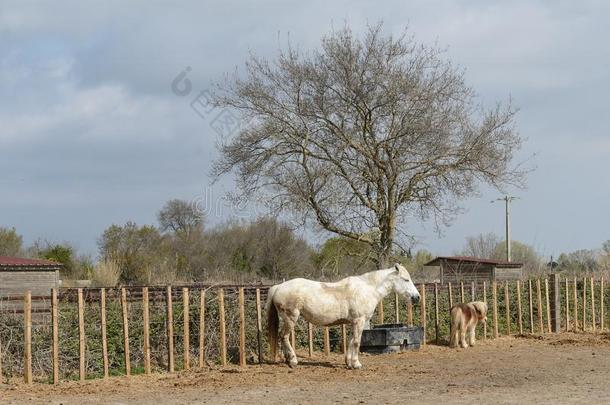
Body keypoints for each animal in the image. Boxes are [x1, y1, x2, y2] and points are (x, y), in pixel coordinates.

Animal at [266, 264, 418, 368]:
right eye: (406, 280)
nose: (417, 297)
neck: (367, 289)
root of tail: (278, 287)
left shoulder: (353, 322)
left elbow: (351, 341)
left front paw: (349, 363)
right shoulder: (359, 321)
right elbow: (356, 342)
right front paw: (356, 364)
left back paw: (287, 360)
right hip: (290, 318)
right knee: (284, 336)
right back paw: (292, 360)